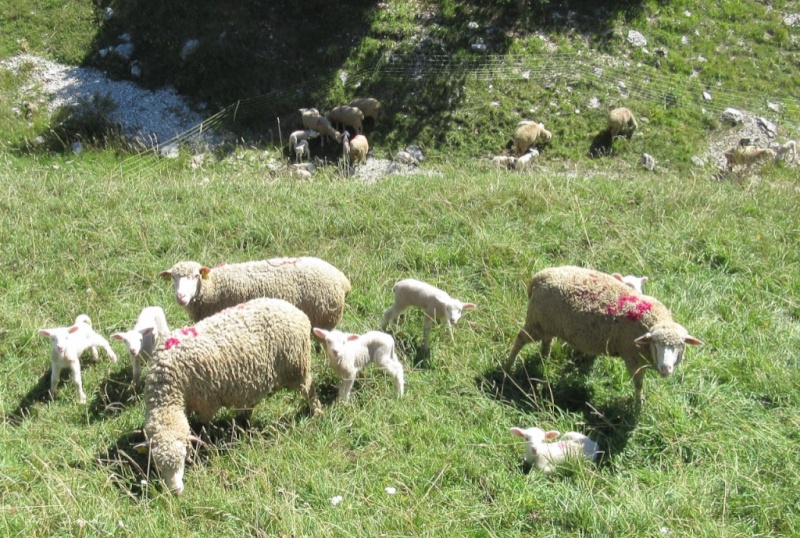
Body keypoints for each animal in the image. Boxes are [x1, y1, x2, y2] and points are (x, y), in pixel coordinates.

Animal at [504, 264, 704, 402]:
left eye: (680, 345)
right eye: (656, 344)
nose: (666, 369)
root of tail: (538, 277)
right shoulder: (632, 357)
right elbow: (638, 385)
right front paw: (638, 403)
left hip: (547, 322)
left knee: (546, 342)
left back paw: (544, 360)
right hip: (536, 322)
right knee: (520, 339)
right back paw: (508, 366)